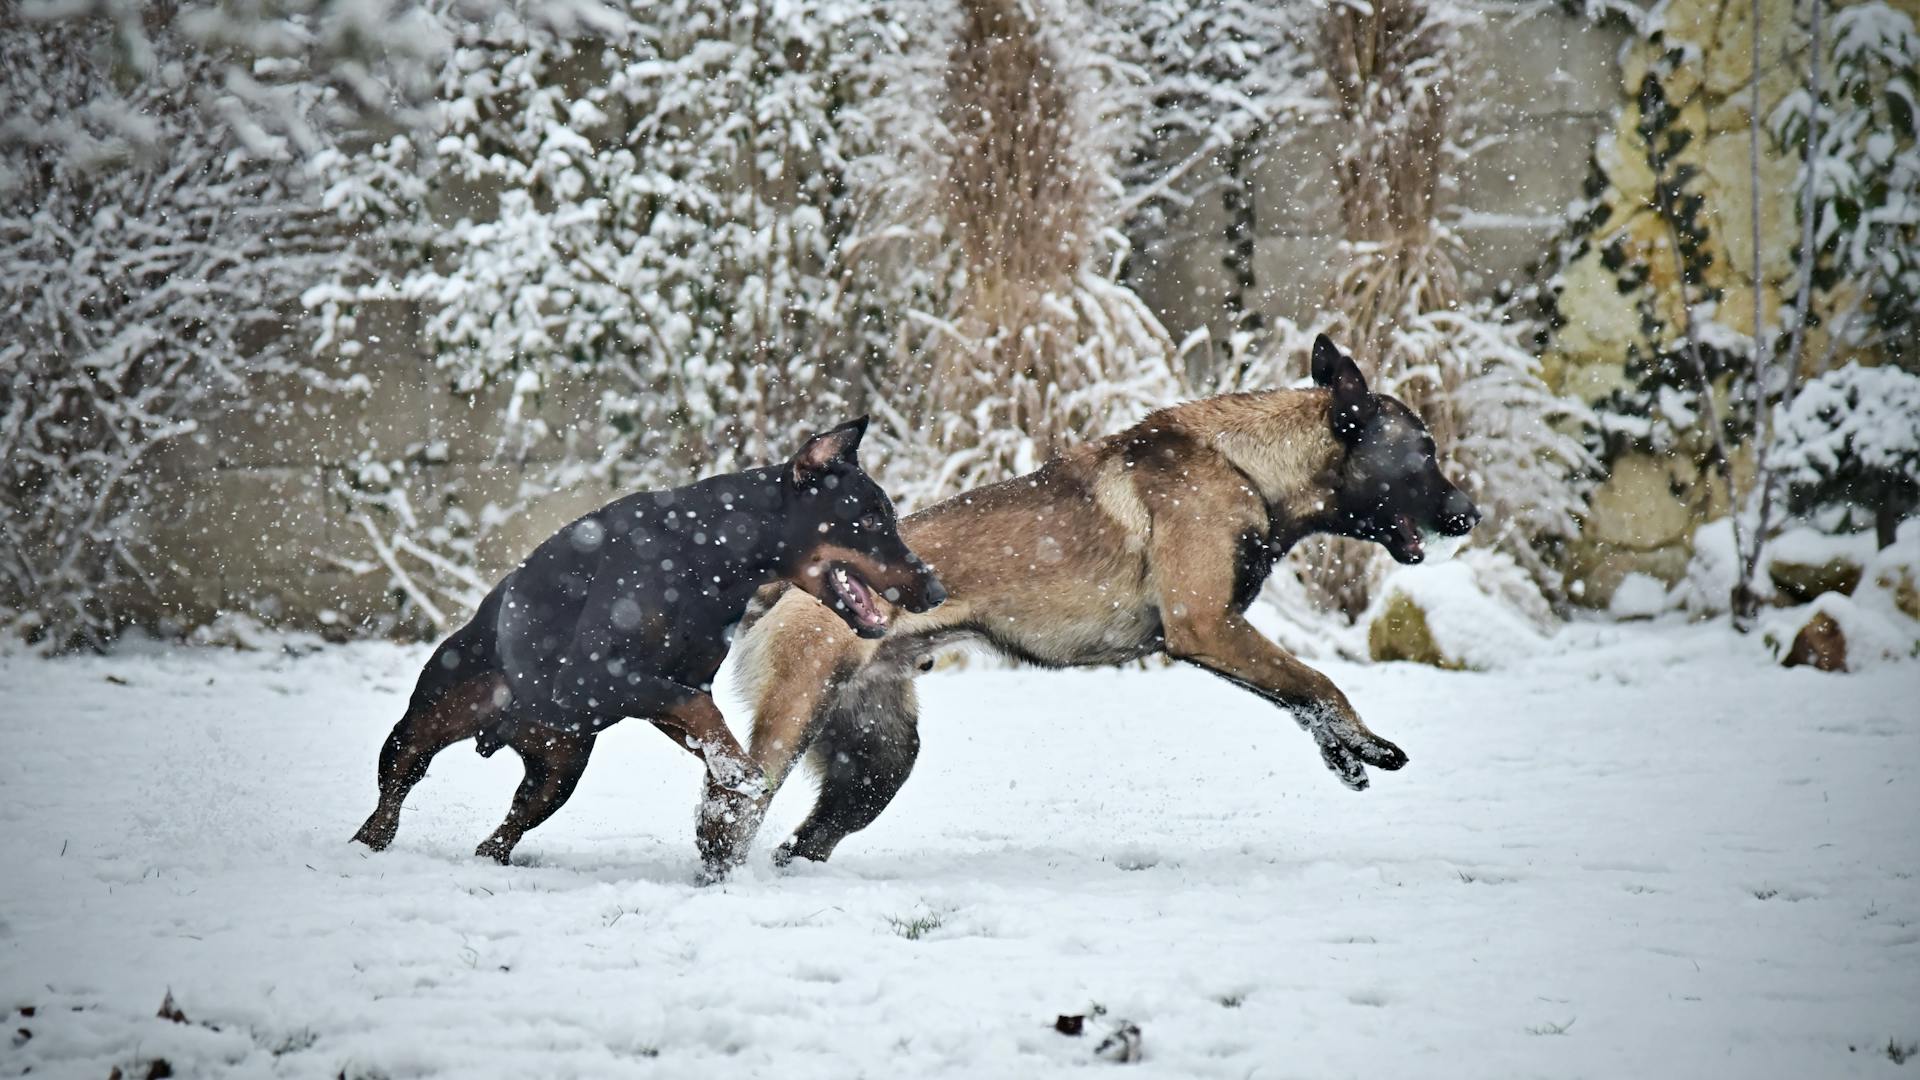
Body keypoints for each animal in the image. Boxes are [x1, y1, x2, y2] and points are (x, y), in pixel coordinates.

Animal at [351, 413, 944, 876]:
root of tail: (499, 733)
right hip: (427, 720)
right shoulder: (595, 674)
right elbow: (698, 709)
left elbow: (705, 723)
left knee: (510, 823)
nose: (936, 590)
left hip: (560, 768)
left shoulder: (670, 686)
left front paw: (730, 790)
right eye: (870, 518)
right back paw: (368, 845)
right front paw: (740, 776)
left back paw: (491, 858)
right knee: (395, 788)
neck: (710, 555)